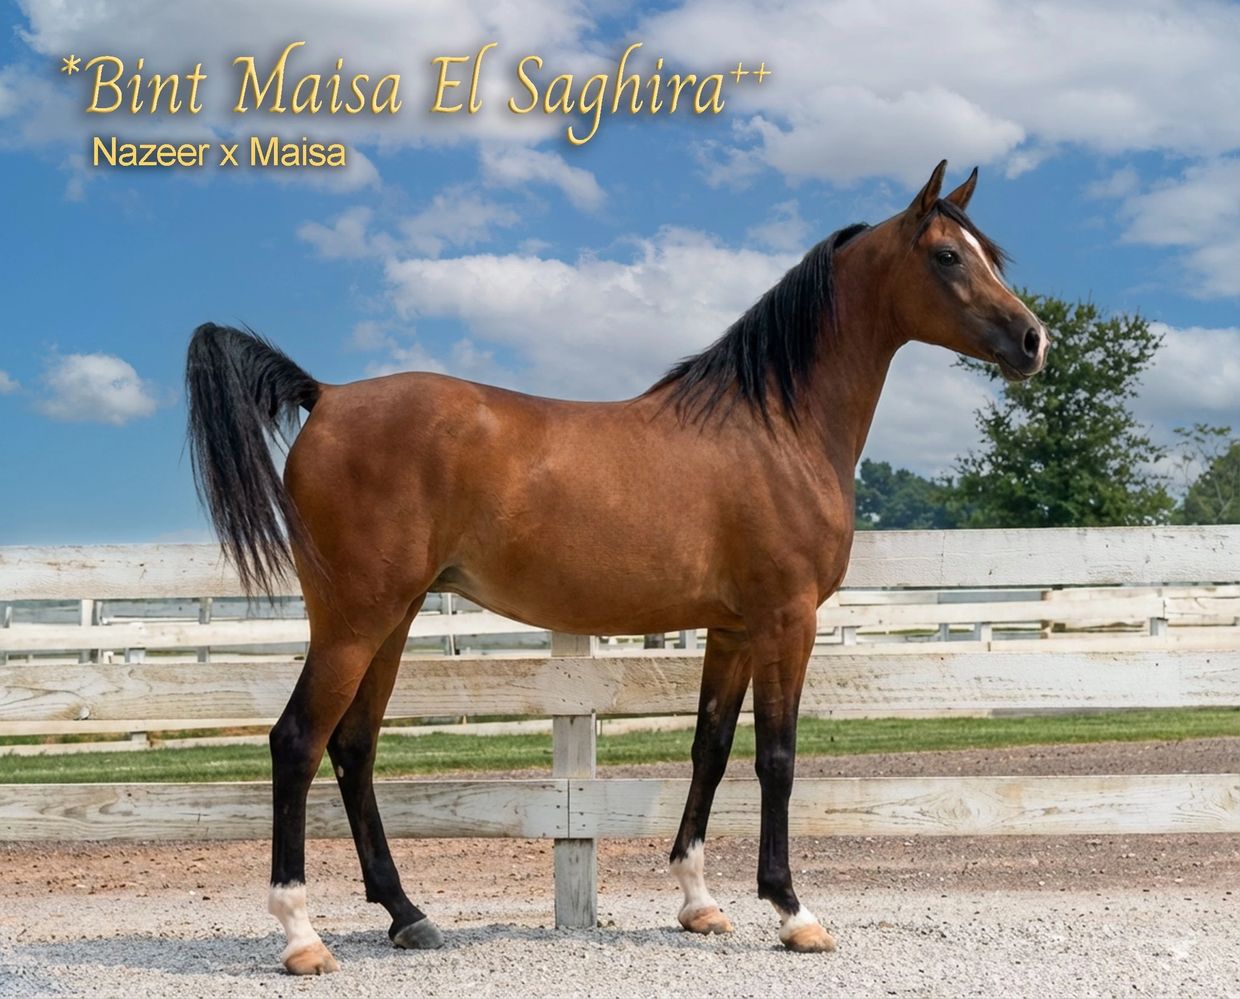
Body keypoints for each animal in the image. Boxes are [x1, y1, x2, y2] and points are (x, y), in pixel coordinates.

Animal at [185, 161, 1047, 974]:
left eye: (988, 253)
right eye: (946, 255)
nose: (1034, 340)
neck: (777, 427)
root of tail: (325, 395)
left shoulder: (732, 629)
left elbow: (709, 748)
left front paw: (699, 902)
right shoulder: (785, 620)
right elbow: (776, 757)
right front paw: (793, 910)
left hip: (390, 620)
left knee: (354, 746)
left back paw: (407, 914)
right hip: (353, 620)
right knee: (297, 740)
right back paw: (302, 935)